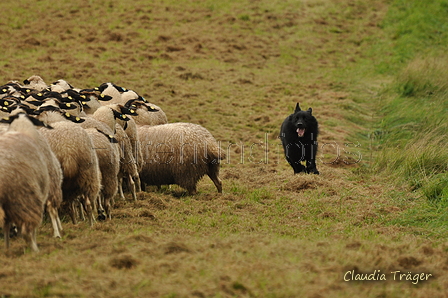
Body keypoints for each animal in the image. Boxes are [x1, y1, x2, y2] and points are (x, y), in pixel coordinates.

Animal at [0, 113, 53, 251]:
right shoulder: (37, 196)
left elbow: (6, 227)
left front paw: (7, 249)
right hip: (23, 197)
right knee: (26, 231)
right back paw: (35, 250)